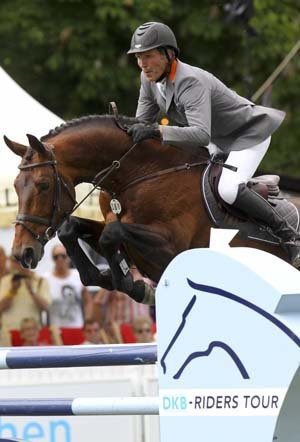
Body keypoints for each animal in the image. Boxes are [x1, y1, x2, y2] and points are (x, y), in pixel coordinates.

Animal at [4, 114, 300, 304]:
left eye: (43, 185)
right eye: (16, 186)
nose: (22, 253)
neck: (142, 173)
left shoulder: (171, 247)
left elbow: (112, 233)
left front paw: (130, 285)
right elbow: (72, 228)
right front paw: (103, 277)